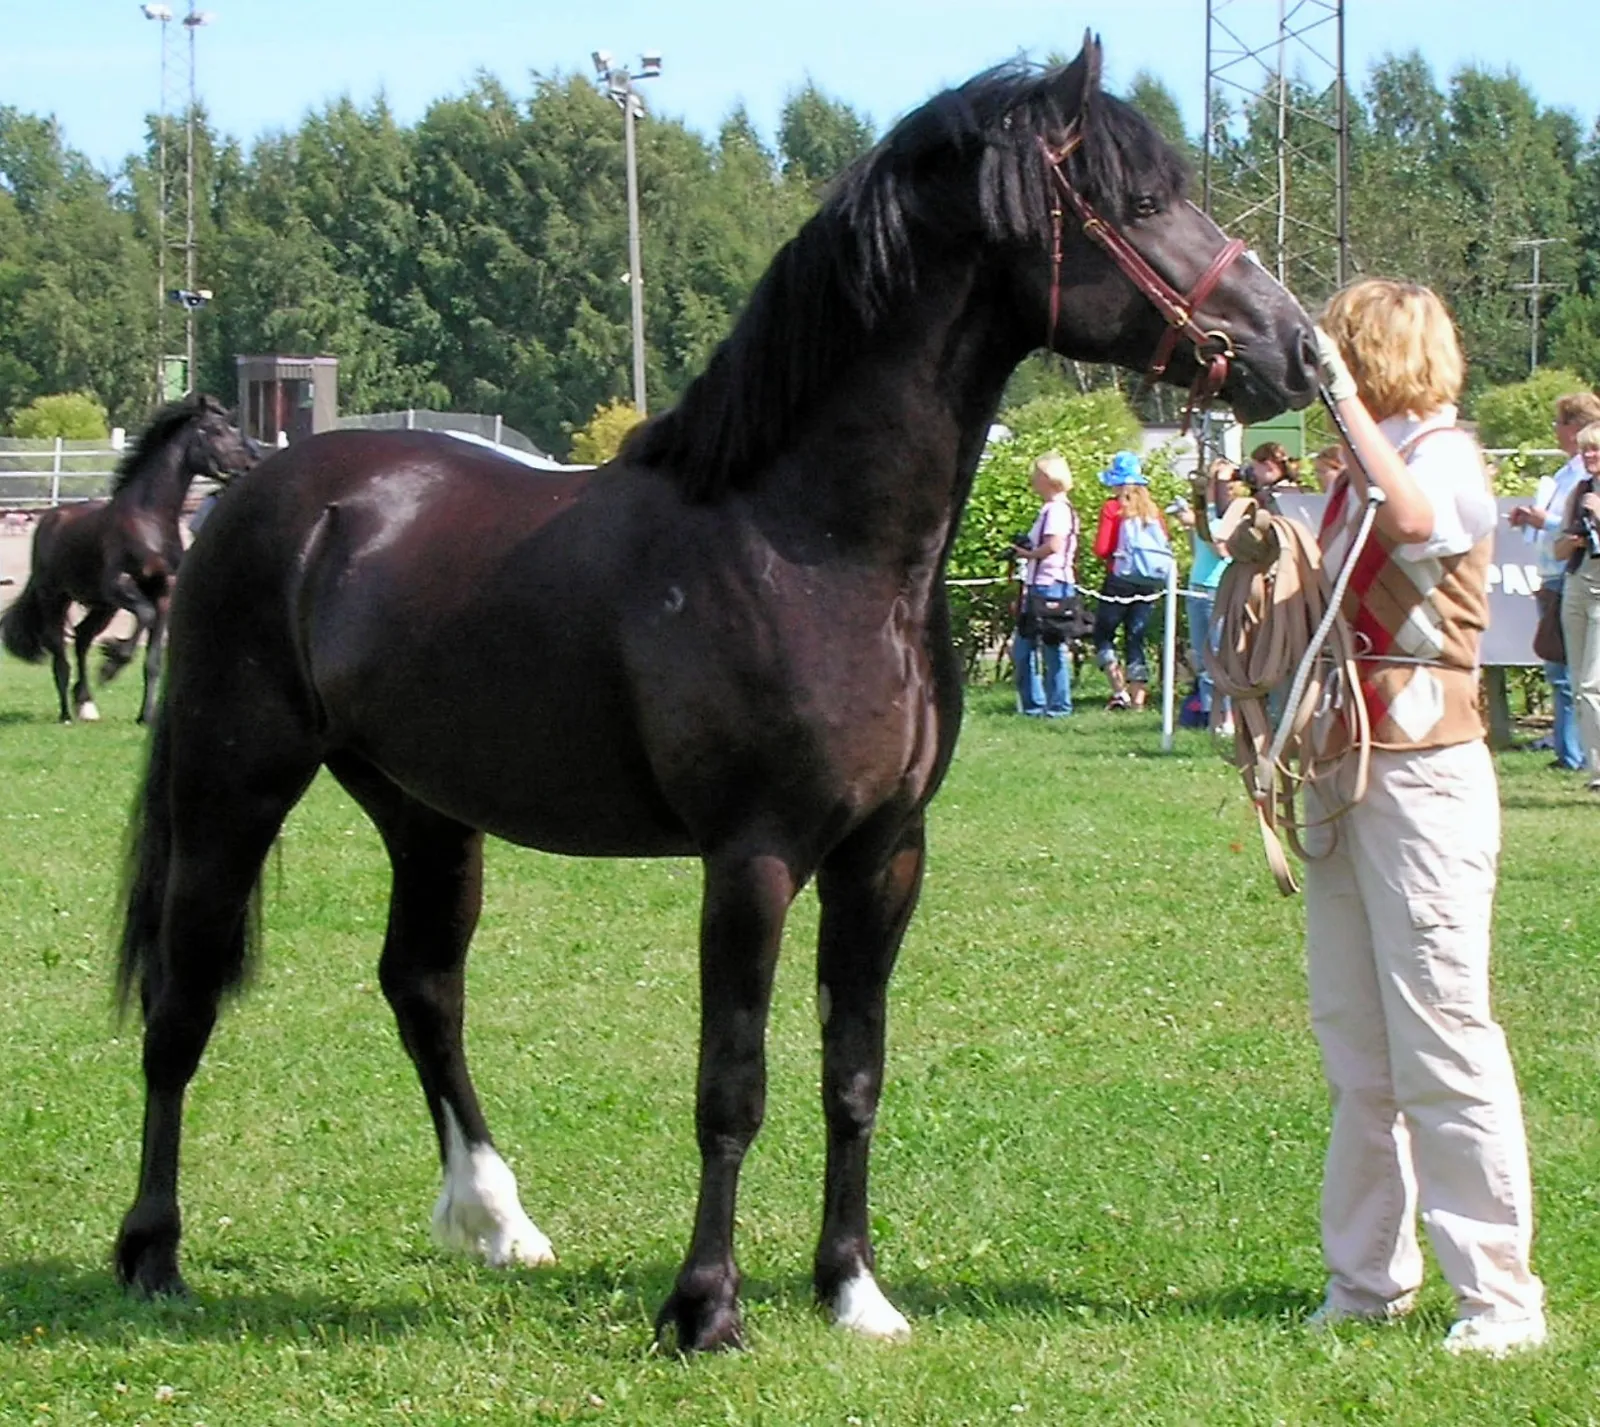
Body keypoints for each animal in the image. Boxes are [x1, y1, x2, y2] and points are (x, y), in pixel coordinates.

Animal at [0, 392, 258, 724]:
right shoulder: (119, 585)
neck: (149, 521)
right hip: (55, 598)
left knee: (82, 639)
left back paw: (86, 704)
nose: (250, 465)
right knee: (60, 652)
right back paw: (67, 713)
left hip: (102, 606)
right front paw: (111, 663)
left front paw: (145, 715)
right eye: (215, 431)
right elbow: (143, 616)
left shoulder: (162, 592)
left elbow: (154, 659)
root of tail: (50, 519)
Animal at [111, 39, 1318, 1352]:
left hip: (424, 810)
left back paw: (497, 1219)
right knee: (182, 1001)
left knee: (422, 986)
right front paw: (706, 1305)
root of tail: (263, 494)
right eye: (1137, 201)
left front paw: (852, 1287)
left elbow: (853, 1070)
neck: (807, 543)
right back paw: (151, 1251)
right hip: (233, 785)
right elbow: (731, 1082)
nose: (1298, 350)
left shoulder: (885, 854)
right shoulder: (755, 856)